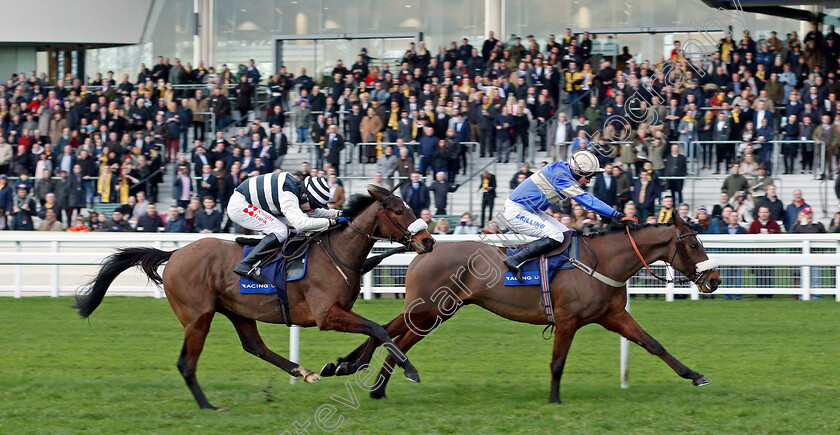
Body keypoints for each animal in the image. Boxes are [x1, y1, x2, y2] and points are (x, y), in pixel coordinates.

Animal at [74, 186, 434, 410]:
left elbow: (376, 332)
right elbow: (378, 329)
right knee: (187, 363)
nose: (428, 241)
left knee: (255, 347)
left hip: (237, 311)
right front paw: (409, 371)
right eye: (399, 210)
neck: (338, 254)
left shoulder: (340, 312)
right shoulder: (326, 315)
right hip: (198, 317)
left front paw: (342, 365)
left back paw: (303, 372)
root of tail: (175, 253)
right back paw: (208, 406)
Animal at [322, 215, 720, 406]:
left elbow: (654, 344)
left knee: (399, 341)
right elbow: (558, 362)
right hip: (428, 308)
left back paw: (375, 386)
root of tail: (424, 248)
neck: (603, 260)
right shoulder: (569, 320)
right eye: (694, 244)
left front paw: (696, 375)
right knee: (388, 329)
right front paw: (555, 399)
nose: (714, 280)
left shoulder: (613, 316)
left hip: (439, 313)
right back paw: (349, 366)